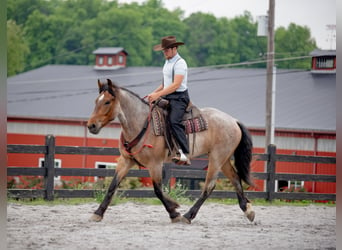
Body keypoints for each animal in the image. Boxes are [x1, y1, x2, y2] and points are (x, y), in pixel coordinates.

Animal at [87, 79, 255, 224]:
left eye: (107, 101)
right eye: (96, 101)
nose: (91, 125)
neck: (141, 123)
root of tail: (233, 121)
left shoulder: (155, 164)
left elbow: (158, 190)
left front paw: (174, 212)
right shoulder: (126, 161)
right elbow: (112, 186)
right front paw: (98, 213)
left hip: (216, 158)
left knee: (209, 187)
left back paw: (188, 215)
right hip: (223, 159)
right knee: (235, 179)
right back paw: (248, 210)